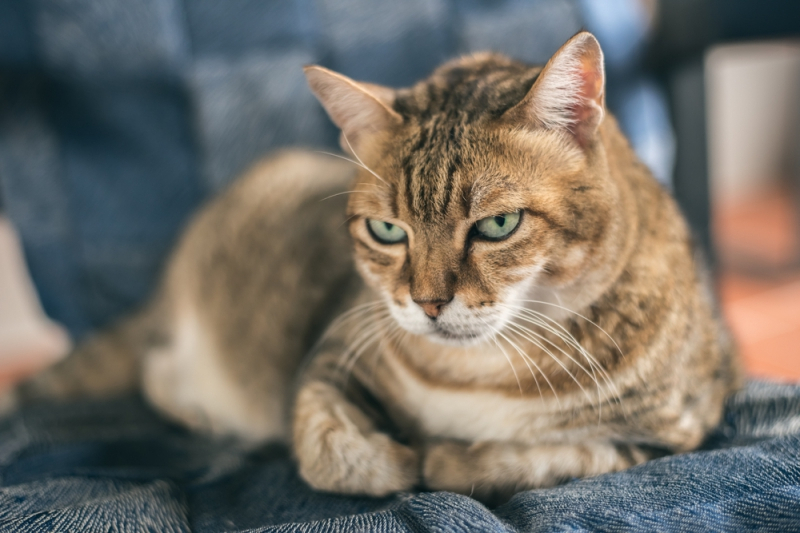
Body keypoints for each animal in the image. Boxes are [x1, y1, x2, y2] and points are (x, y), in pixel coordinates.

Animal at [9, 33, 740, 502]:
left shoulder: (673, 429)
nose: (428, 302)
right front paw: (390, 454)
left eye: (498, 225)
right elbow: (324, 443)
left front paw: (444, 454)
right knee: (156, 368)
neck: (478, 373)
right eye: (388, 230)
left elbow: (543, 456)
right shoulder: (331, 353)